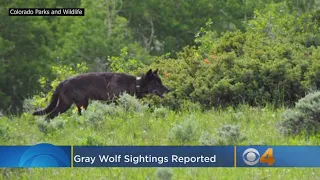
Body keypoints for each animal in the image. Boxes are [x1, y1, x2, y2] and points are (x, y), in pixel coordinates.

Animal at [32, 69, 170, 121]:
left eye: (160, 81)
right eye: (157, 83)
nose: (169, 90)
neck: (134, 84)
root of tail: (62, 82)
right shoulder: (113, 102)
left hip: (77, 105)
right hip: (68, 105)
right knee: (48, 116)